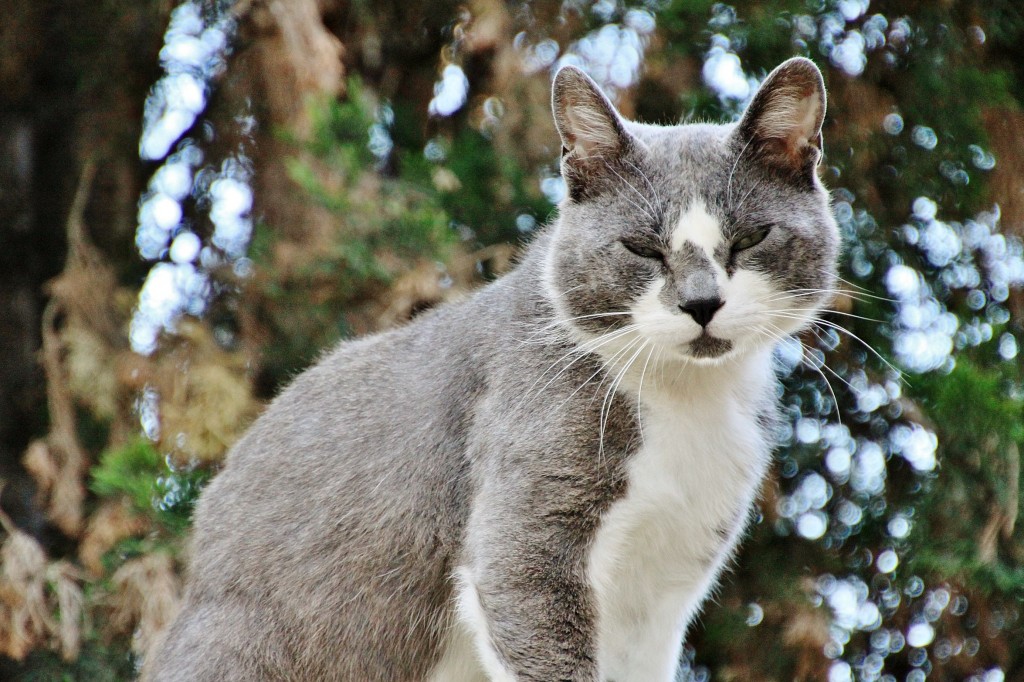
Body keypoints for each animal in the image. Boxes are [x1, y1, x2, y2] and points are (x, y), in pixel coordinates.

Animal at [148, 58, 843, 679]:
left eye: (751, 238)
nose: (702, 303)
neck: (688, 401)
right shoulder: (527, 520)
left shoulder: (666, 580)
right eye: (641, 248)